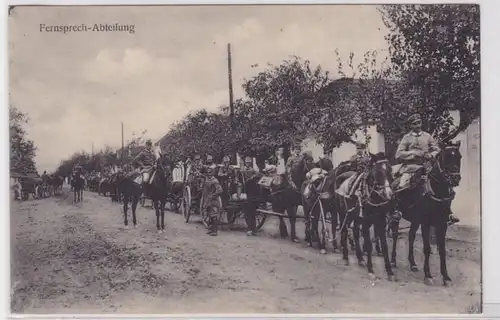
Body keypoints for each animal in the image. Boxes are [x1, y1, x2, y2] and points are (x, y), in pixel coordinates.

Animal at [334, 152, 396, 280]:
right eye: (377, 172)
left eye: (390, 170)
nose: (388, 194)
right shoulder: (366, 222)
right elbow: (368, 245)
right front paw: (371, 269)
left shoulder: (381, 222)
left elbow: (384, 245)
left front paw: (390, 272)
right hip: (344, 215)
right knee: (344, 232)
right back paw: (346, 257)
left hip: (355, 217)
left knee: (355, 233)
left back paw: (360, 258)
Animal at [388, 141, 462, 286]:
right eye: (446, 157)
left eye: (459, 157)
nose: (456, 178)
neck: (437, 190)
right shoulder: (426, 223)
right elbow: (427, 248)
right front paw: (428, 275)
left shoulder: (442, 224)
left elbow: (442, 249)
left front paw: (446, 277)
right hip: (396, 218)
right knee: (394, 236)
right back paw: (393, 261)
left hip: (415, 220)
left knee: (411, 236)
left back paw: (412, 264)